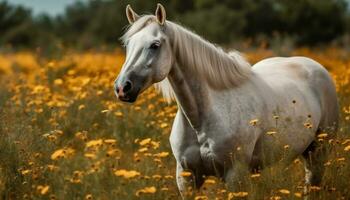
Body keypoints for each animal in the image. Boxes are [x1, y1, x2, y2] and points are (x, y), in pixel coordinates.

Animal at [115, 3, 340, 197]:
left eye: (155, 45)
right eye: (128, 44)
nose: (122, 88)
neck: (202, 119)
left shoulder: (235, 176)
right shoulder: (186, 178)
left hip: (319, 151)